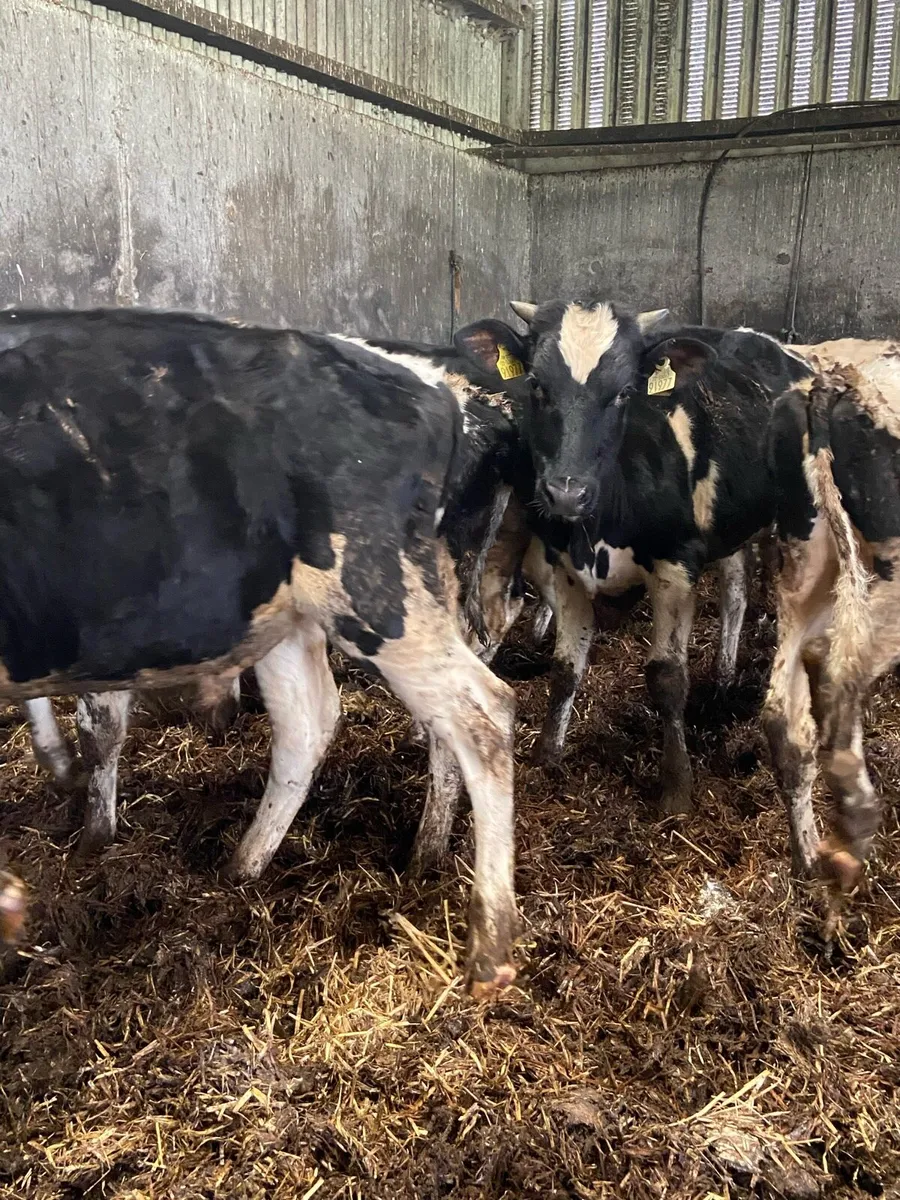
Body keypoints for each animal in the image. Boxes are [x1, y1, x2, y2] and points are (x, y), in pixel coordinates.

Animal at [0, 306, 518, 995]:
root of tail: (431, 386)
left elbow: (99, 725)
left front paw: (88, 830)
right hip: (301, 613)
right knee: (313, 722)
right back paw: (245, 868)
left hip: (378, 596)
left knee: (481, 713)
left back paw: (485, 940)